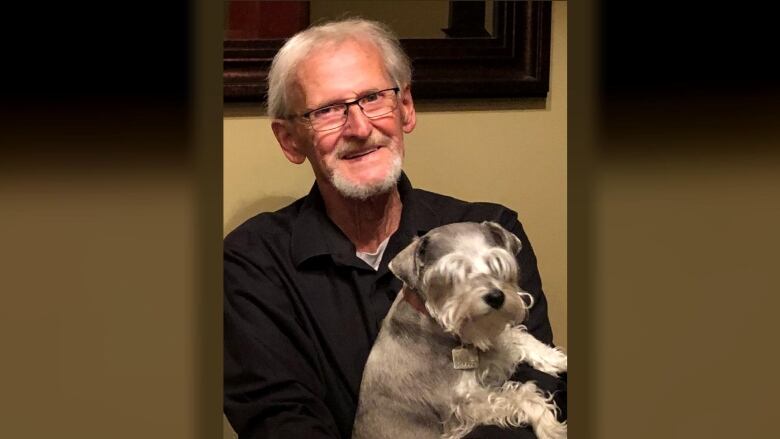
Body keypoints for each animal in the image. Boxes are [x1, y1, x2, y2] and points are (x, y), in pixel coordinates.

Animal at [354, 223, 568, 439]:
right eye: (451, 275)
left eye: (496, 263)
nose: (496, 297)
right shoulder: (464, 405)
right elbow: (521, 396)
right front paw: (551, 428)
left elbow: (517, 336)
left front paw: (559, 359)